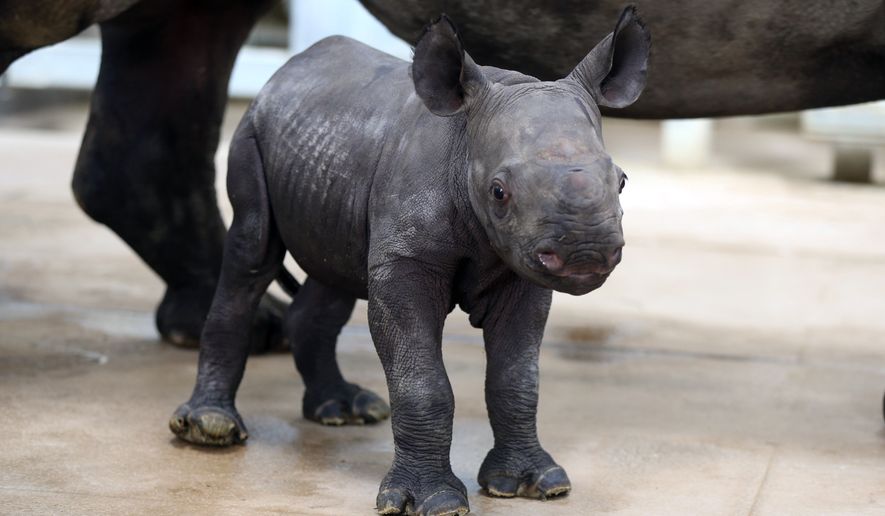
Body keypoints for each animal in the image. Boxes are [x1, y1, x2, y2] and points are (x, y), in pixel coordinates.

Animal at [168, 7, 649, 515]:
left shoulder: (522, 270)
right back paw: (210, 430)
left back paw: (344, 412)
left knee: (333, 274)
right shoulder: (406, 262)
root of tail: (280, 76)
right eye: (499, 192)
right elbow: (421, 380)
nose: (586, 251)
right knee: (252, 253)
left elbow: (517, 376)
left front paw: (534, 485)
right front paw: (434, 502)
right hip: (252, 134)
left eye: (622, 181)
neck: (465, 148)